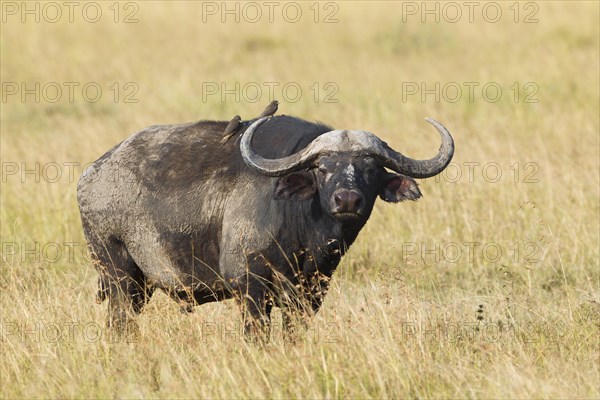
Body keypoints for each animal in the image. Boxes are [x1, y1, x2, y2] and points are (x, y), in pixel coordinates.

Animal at [79, 103, 454, 338]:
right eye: (322, 167)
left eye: (371, 168)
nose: (347, 199)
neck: (304, 233)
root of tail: (93, 174)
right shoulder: (250, 288)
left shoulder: (310, 294)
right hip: (119, 276)